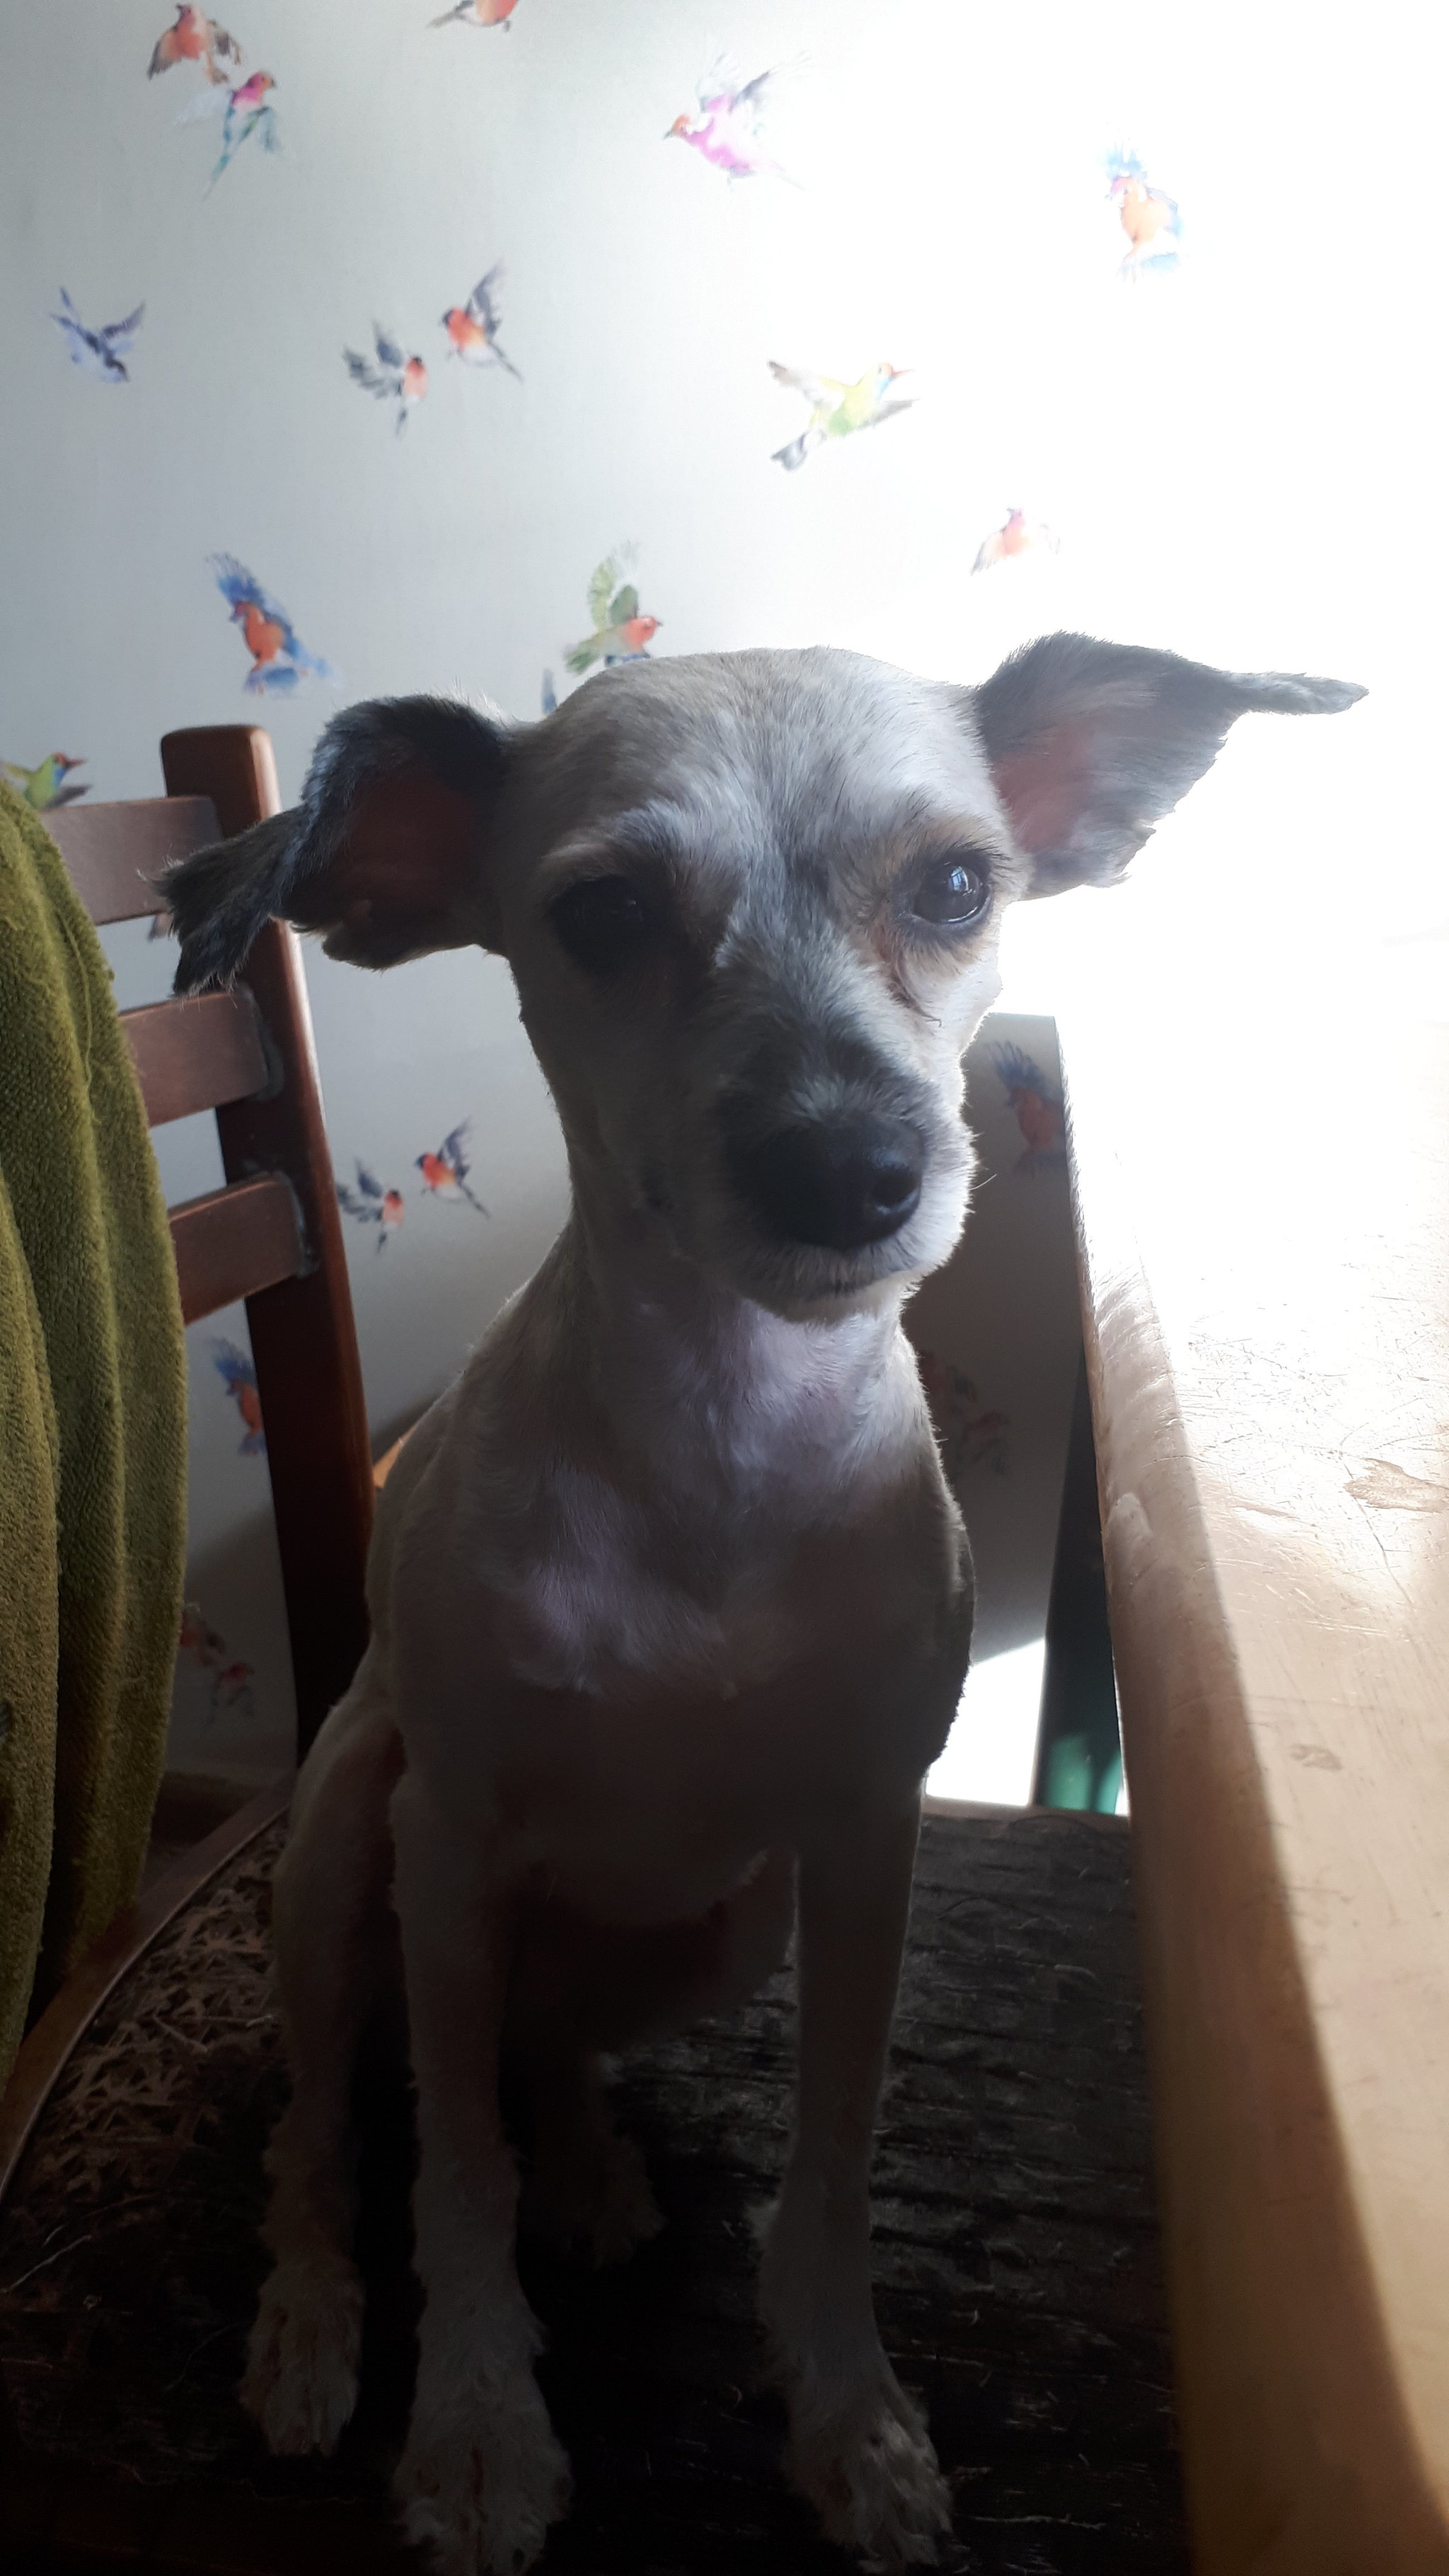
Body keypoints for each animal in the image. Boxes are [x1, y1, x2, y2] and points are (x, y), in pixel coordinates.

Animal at [167, 628, 1358, 2576]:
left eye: (953, 884)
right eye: (603, 912)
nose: (852, 1172)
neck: (715, 1455)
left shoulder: (863, 1842)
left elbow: (828, 2164)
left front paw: (846, 2414)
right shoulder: (448, 1835)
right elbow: (450, 2179)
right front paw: (475, 2424)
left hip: (720, 1928)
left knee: (538, 2053)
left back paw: (585, 2158)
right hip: (345, 1848)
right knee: (333, 2134)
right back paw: (310, 2316)